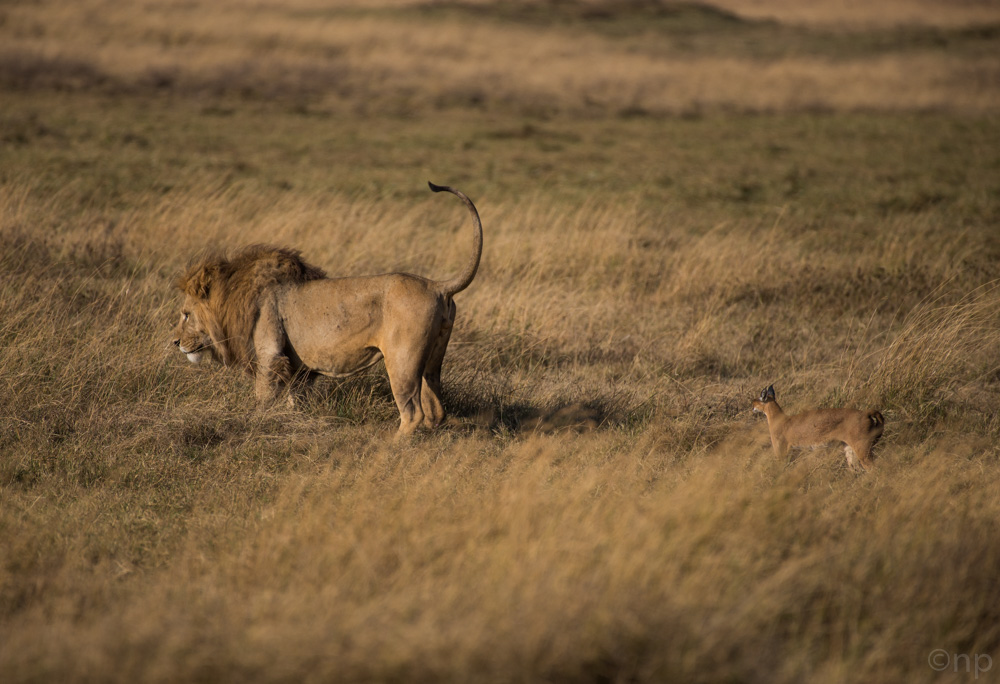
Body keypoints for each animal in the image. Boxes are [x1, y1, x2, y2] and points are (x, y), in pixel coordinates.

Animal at [172, 182, 484, 436]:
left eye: (186, 315)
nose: (175, 342)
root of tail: (437, 286)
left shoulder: (270, 354)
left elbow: (263, 397)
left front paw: (256, 423)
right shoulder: (298, 366)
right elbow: (295, 399)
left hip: (402, 359)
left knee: (413, 413)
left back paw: (391, 445)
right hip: (433, 358)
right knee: (436, 410)